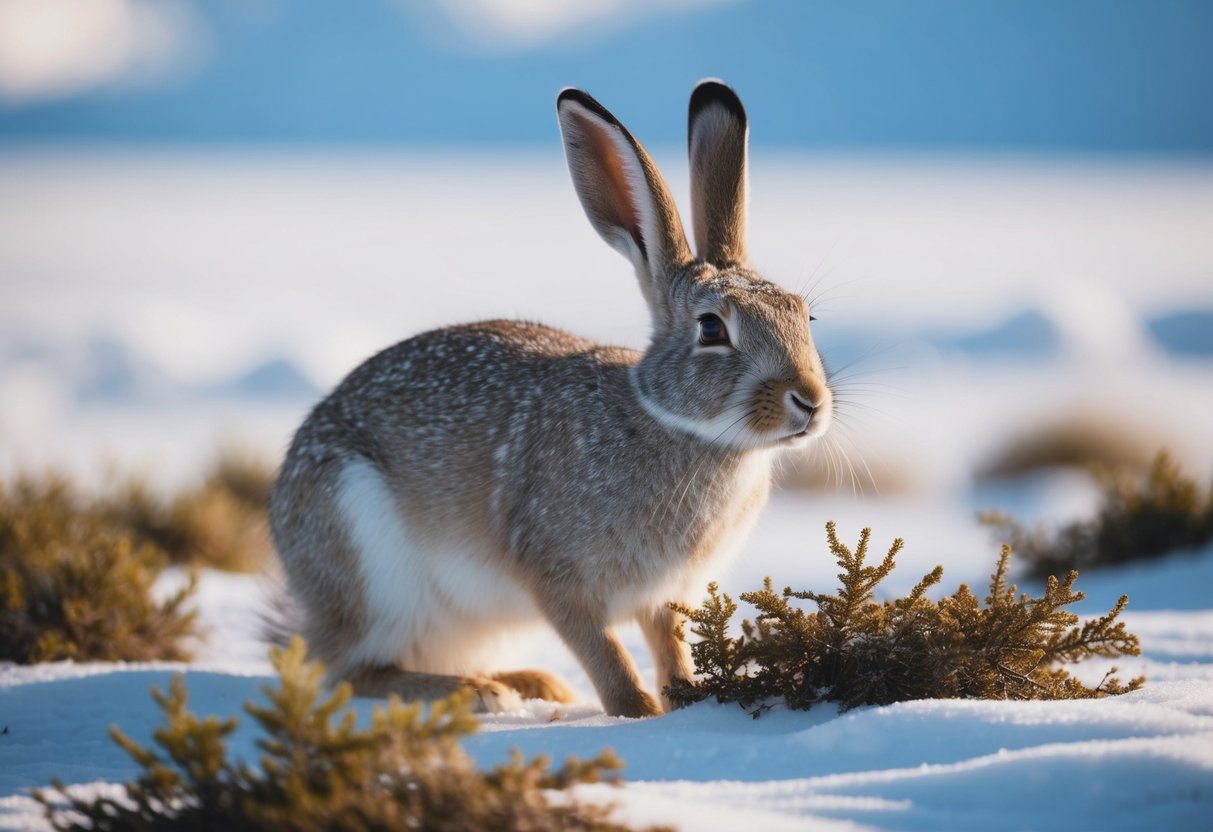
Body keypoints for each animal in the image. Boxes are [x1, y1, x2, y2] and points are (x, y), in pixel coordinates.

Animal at [268, 79, 832, 718]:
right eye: (712, 328)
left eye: (804, 316)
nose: (810, 401)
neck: (679, 427)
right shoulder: (555, 576)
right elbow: (601, 650)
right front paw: (639, 711)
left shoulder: (666, 596)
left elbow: (669, 647)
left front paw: (689, 702)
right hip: (368, 559)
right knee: (353, 671)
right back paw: (479, 694)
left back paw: (530, 683)